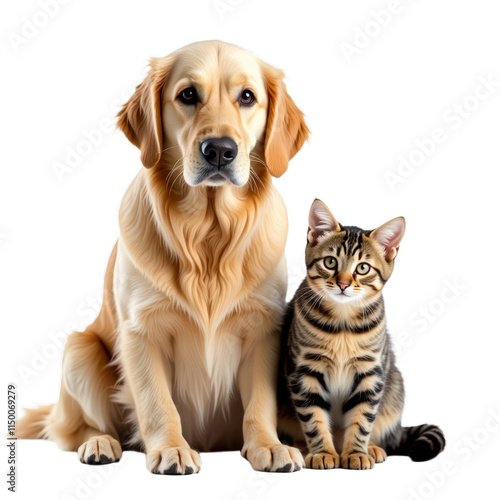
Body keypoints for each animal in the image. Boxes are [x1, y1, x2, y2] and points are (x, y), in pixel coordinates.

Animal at [16, 41, 308, 474]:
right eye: (188, 94)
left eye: (247, 97)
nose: (219, 150)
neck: (207, 235)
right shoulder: (141, 332)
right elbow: (157, 404)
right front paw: (171, 448)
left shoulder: (263, 328)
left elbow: (260, 402)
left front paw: (268, 446)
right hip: (79, 349)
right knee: (74, 430)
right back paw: (99, 443)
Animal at [278, 199, 446, 468]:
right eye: (330, 262)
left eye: (363, 268)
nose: (343, 284)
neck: (343, 324)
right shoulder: (304, 371)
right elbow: (313, 417)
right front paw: (322, 451)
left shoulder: (370, 373)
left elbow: (362, 417)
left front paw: (356, 452)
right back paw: (305, 447)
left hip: (394, 385)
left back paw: (372, 448)